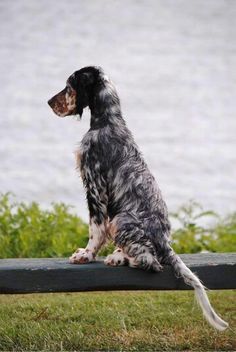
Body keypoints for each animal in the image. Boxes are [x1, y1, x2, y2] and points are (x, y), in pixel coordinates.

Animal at [47, 65, 227, 330]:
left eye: (69, 86)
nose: (49, 102)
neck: (108, 122)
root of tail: (164, 241)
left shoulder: (95, 185)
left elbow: (95, 229)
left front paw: (86, 255)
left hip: (120, 219)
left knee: (150, 262)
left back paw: (122, 258)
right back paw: (120, 255)